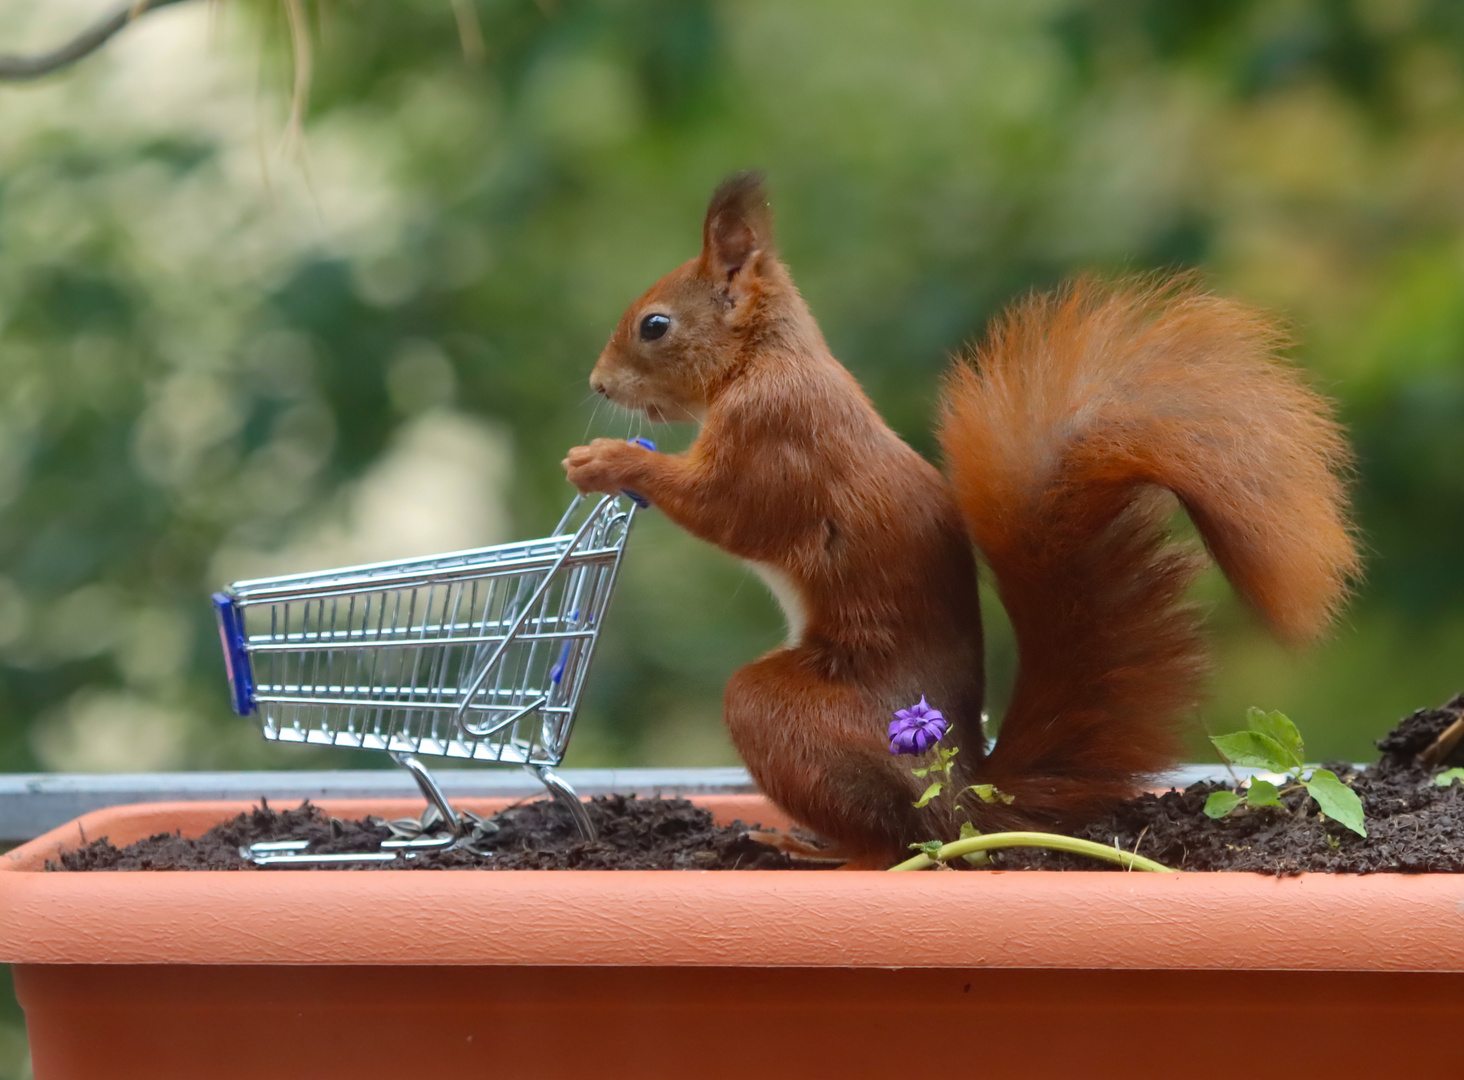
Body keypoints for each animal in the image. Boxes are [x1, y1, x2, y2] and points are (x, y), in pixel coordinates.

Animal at [562, 172, 1358, 860]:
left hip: (793, 720)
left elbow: (728, 513)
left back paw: (808, 846)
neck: (763, 358)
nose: (595, 384)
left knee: (893, 845)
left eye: (655, 325)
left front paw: (608, 461)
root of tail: (964, 793)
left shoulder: (775, 436)